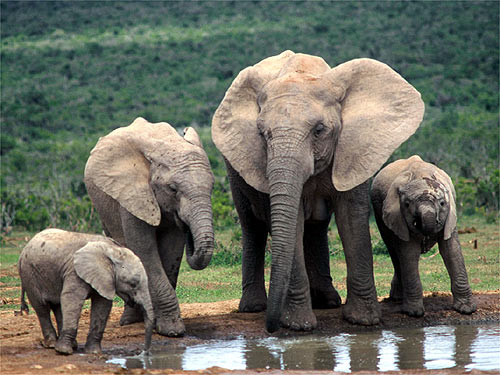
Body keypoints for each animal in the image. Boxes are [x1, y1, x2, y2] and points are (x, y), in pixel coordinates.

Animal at [17, 229, 154, 356]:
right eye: (133, 284)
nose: (143, 353)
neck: (113, 250)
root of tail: (25, 247)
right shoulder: (74, 271)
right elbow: (72, 298)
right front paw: (64, 352)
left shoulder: (105, 279)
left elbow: (102, 305)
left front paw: (94, 352)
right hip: (29, 274)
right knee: (42, 308)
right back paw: (52, 344)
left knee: (57, 305)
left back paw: (71, 345)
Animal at [83, 117, 215, 338]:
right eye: (173, 189)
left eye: (212, 187)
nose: (188, 230)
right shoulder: (131, 194)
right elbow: (144, 250)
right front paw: (172, 331)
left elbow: (171, 251)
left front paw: (163, 325)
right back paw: (129, 321)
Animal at [212, 51, 426, 334]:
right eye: (262, 134)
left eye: (319, 130)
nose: (271, 328)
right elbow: (291, 224)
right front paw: (299, 326)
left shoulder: (354, 148)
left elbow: (351, 219)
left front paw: (363, 321)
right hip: (233, 167)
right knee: (252, 226)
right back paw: (254, 307)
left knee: (316, 225)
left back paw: (327, 301)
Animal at [372, 156, 476, 318]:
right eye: (407, 204)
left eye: (442, 203)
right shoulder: (398, 216)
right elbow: (410, 253)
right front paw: (414, 313)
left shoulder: (450, 215)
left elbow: (450, 251)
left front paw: (466, 309)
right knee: (393, 250)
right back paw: (397, 298)